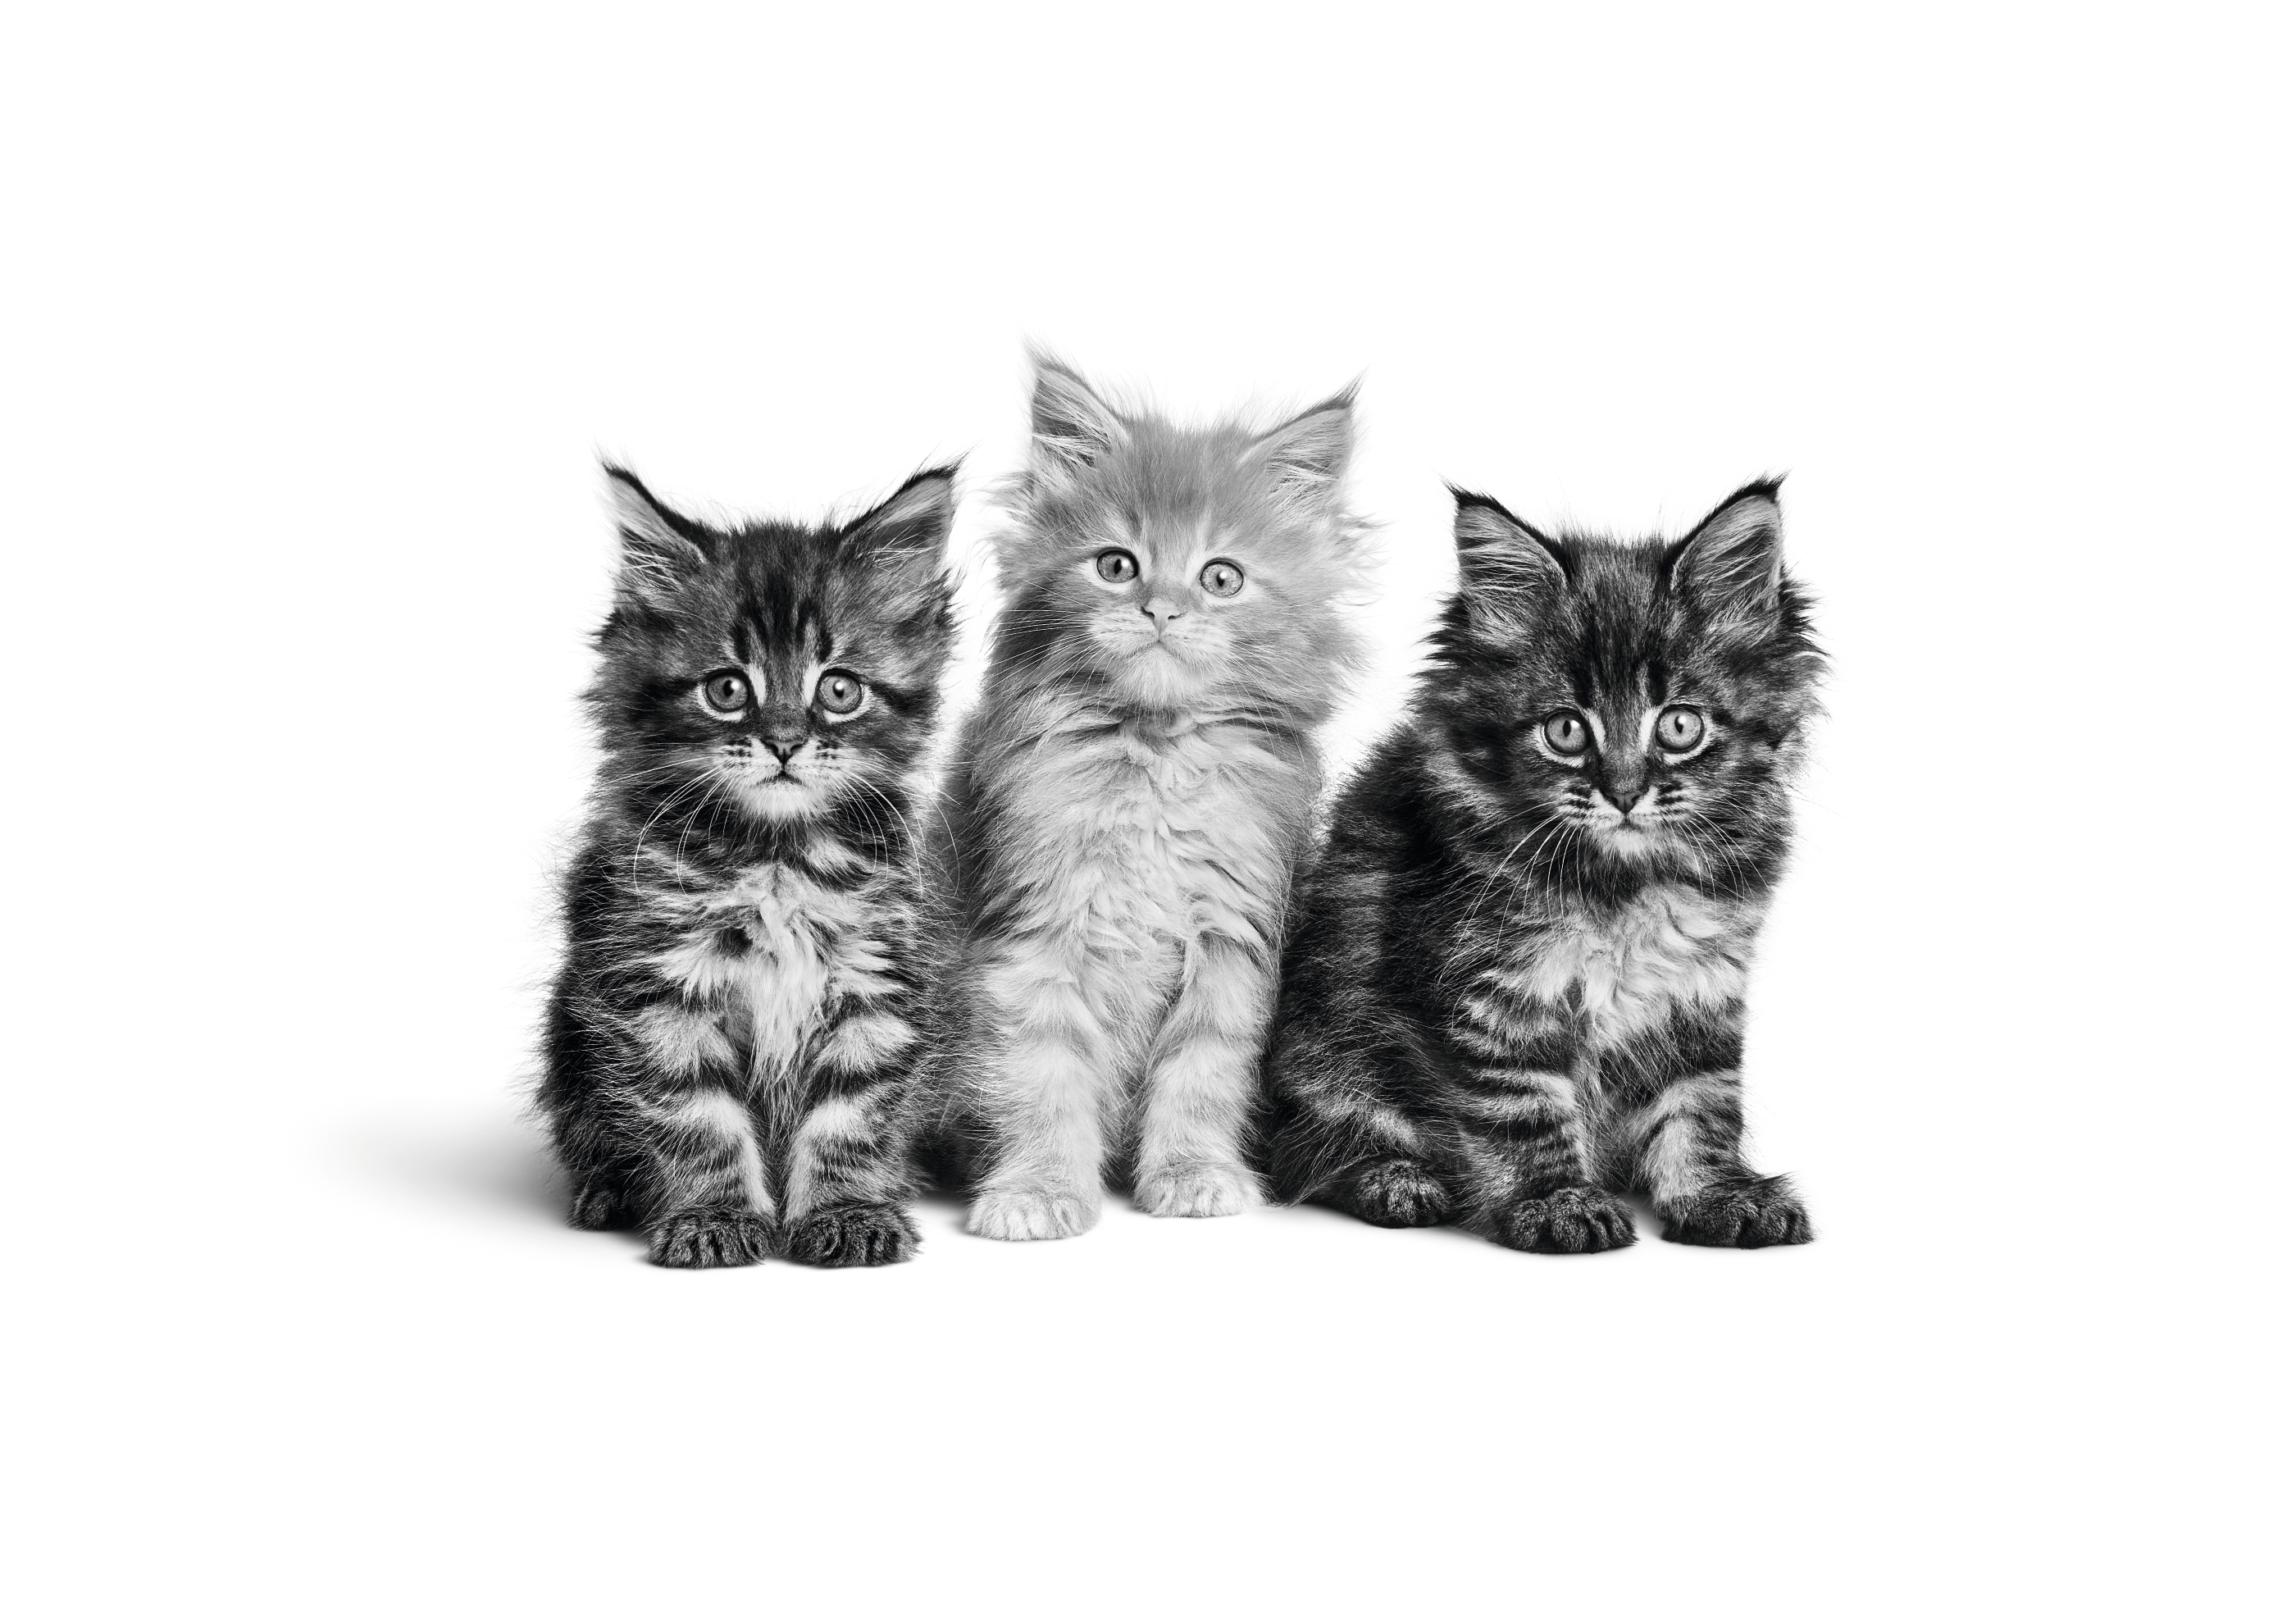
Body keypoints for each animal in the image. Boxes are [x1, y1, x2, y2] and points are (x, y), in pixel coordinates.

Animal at [541, 463, 954, 1267]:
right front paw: (716, 1216)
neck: (777, 856)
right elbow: (697, 1117)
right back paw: (606, 1193)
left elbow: (851, 1117)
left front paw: (850, 1211)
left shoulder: (873, 983)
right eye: (727, 689)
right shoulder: (660, 985)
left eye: (839, 689)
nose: (786, 743)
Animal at [936, 358, 1359, 1249]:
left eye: (1221, 578)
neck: (1155, 758)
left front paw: (1194, 1175)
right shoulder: (1032, 929)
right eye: (1116, 566)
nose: (1161, 608)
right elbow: (1040, 1074)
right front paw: (1038, 1188)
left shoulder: (1233, 937)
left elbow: (1202, 1072)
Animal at [1267, 482, 1818, 1258]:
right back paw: (1397, 1180)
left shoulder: (1702, 989)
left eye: (1680, 726)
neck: (1624, 885)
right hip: (1326, 1049)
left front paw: (1717, 1195)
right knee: (1314, 1147)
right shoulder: (1491, 993)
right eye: (1565, 731)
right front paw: (1558, 1203)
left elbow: (1702, 1103)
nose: (1624, 792)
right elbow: (1523, 1108)